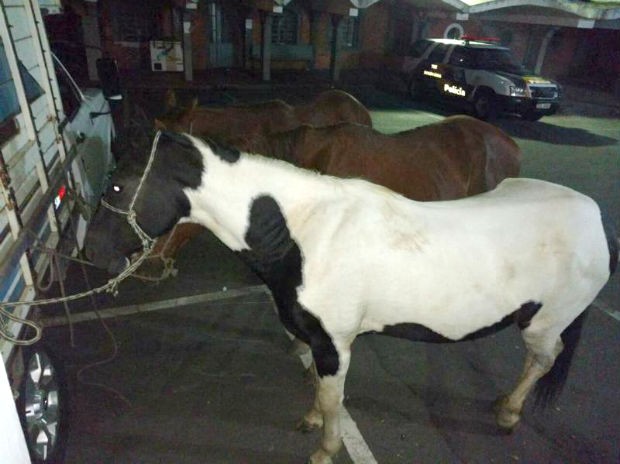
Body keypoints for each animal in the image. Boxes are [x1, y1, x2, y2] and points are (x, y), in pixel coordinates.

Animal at [86, 130, 616, 464]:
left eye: (116, 184)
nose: (90, 253)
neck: (306, 233)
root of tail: (592, 213)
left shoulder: (335, 343)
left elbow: (333, 397)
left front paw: (325, 449)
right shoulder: (310, 337)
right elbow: (319, 391)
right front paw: (311, 419)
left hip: (544, 321)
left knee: (543, 360)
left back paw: (508, 412)